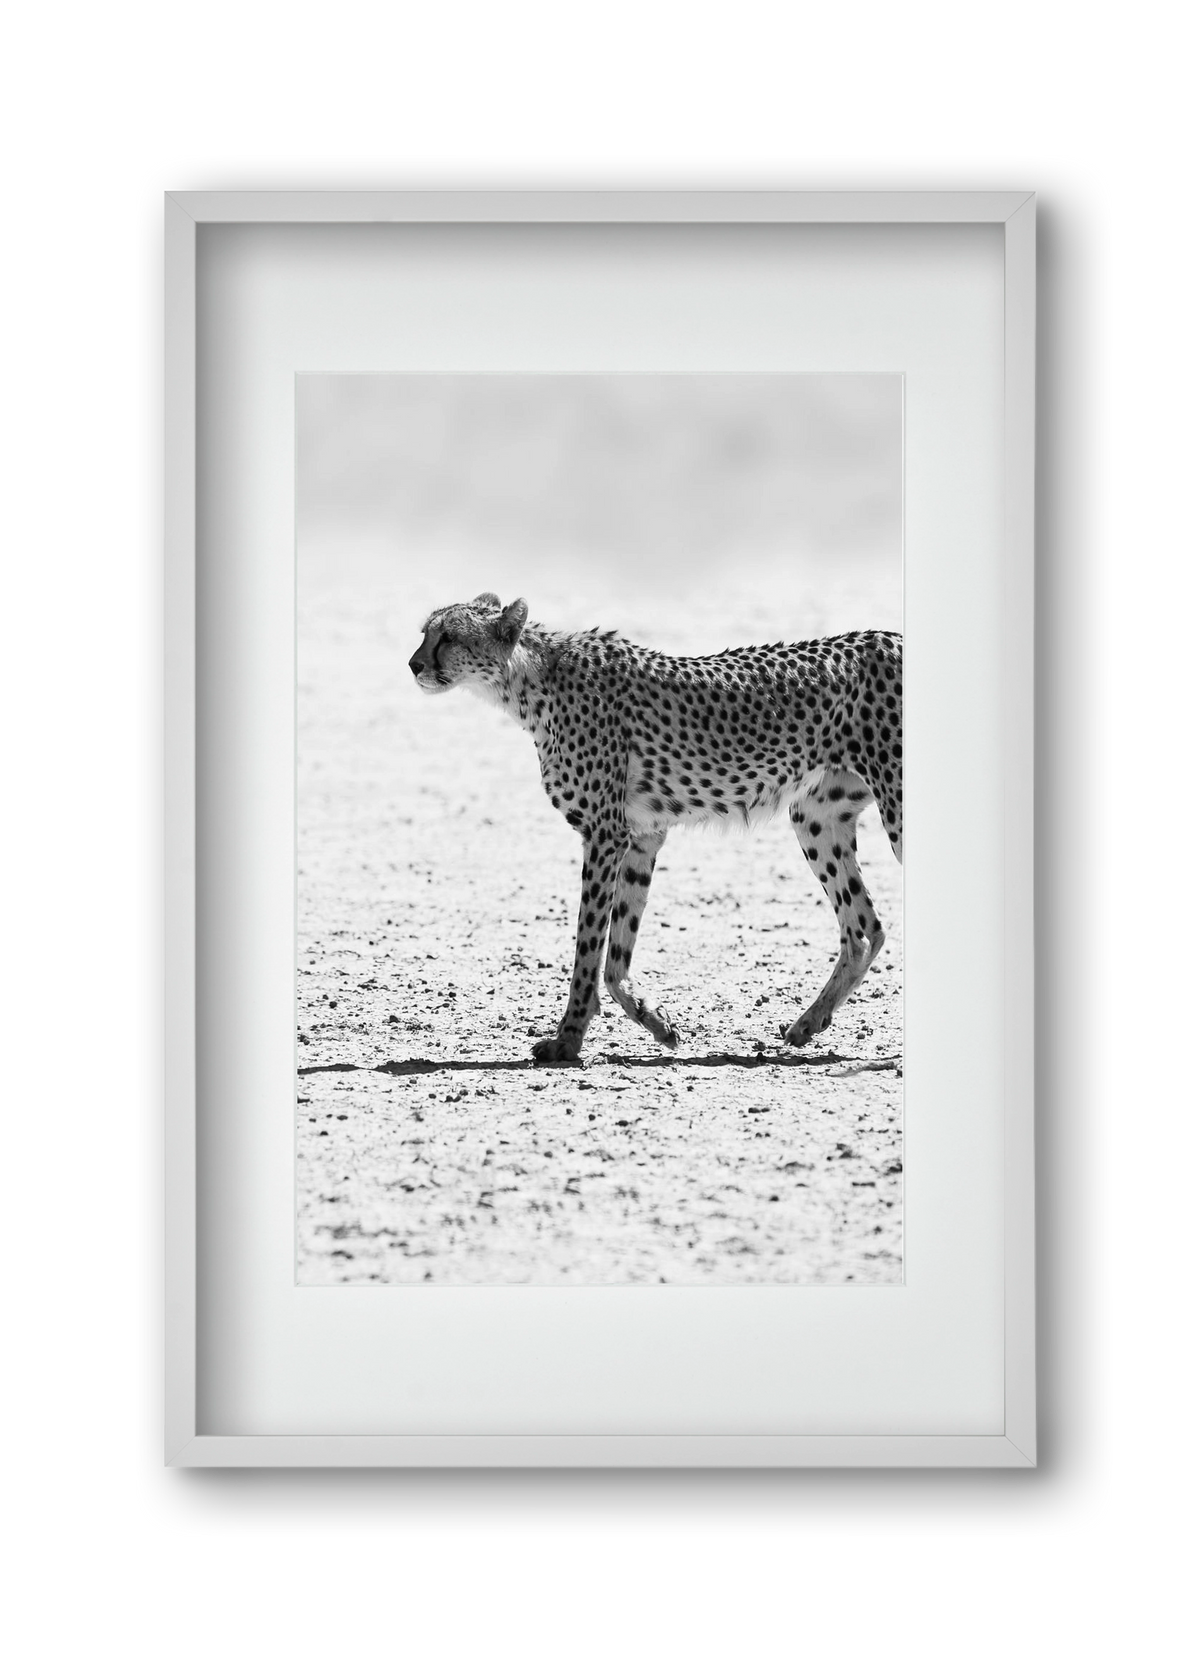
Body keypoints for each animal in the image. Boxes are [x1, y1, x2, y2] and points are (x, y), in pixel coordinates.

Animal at [409, 593, 902, 1063]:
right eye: (425, 632)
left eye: (448, 636)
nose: (413, 664)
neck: (528, 681)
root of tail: (890, 635)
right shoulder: (642, 836)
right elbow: (616, 954)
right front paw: (657, 1022)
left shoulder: (605, 834)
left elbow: (588, 946)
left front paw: (567, 1040)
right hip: (816, 817)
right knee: (864, 928)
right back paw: (808, 1023)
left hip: (894, 807)